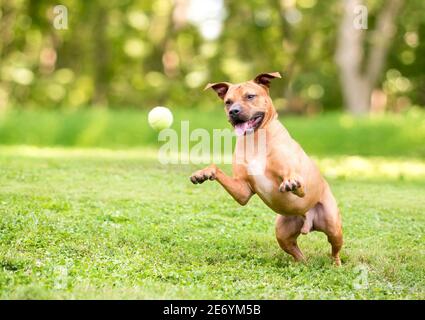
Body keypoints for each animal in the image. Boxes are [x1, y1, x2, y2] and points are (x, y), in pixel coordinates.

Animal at [190, 72, 342, 264]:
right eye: (228, 102)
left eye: (250, 96)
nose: (234, 111)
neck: (256, 140)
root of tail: (309, 222)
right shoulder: (243, 191)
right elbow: (216, 169)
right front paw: (203, 173)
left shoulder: (301, 184)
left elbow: (295, 182)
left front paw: (290, 183)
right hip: (282, 232)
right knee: (297, 253)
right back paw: (301, 264)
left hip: (333, 227)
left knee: (335, 251)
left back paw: (336, 265)